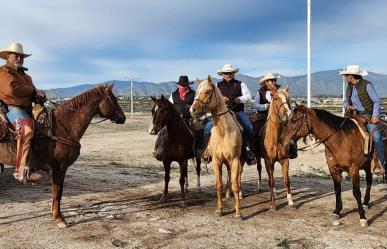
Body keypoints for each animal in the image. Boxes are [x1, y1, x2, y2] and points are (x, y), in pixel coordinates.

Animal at [0, 85, 126, 228]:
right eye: (114, 99)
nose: (123, 117)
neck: (63, 127)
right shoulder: (59, 168)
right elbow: (58, 192)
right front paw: (59, 218)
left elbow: (56, 192)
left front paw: (55, 214)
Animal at [189, 76, 244, 220]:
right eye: (196, 92)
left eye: (207, 92)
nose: (192, 110)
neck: (223, 131)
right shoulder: (216, 161)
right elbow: (218, 185)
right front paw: (219, 210)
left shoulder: (235, 160)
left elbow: (236, 185)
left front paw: (238, 212)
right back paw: (227, 193)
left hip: (239, 161)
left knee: (238, 177)